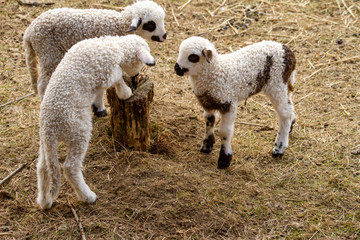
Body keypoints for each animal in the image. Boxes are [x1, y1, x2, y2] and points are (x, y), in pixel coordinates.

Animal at [23, 0, 167, 116]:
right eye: (150, 24)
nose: (164, 36)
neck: (119, 25)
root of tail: (29, 31)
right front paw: (100, 108)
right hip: (49, 52)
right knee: (43, 83)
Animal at [36, 34, 155, 209]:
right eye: (139, 62)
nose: (135, 78)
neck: (114, 46)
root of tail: (50, 127)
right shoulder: (109, 72)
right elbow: (118, 77)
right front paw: (126, 93)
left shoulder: (99, 82)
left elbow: (99, 92)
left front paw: (100, 106)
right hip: (78, 131)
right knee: (70, 167)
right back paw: (88, 196)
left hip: (46, 144)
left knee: (43, 168)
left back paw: (45, 201)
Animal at [174, 36, 296, 170]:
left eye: (193, 57)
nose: (176, 68)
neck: (215, 71)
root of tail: (287, 50)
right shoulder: (208, 102)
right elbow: (209, 121)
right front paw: (206, 146)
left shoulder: (229, 104)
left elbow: (224, 132)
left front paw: (224, 159)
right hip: (284, 83)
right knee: (289, 105)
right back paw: (291, 125)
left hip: (276, 84)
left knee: (284, 114)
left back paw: (279, 148)